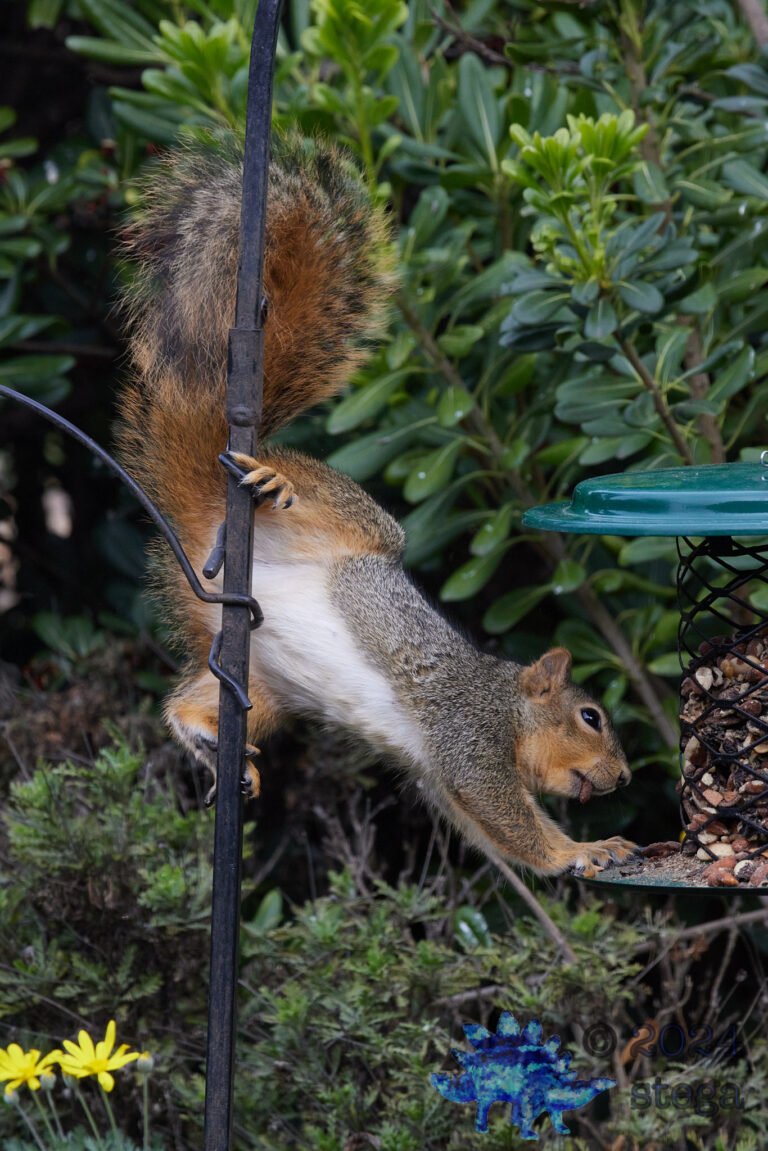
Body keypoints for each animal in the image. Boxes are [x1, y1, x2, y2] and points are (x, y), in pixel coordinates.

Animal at [117, 133, 636, 878]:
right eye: (590, 717)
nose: (623, 778)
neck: (505, 707)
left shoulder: (440, 776)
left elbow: (489, 830)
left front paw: (587, 848)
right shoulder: (467, 739)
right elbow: (513, 818)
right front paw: (578, 851)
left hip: (258, 678)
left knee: (189, 702)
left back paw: (205, 737)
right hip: (354, 533)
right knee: (335, 516)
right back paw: (275, 481)